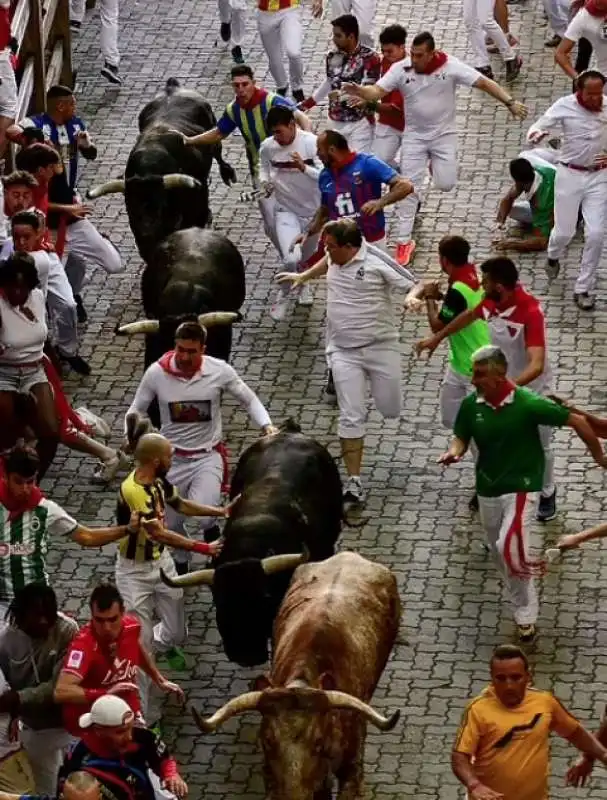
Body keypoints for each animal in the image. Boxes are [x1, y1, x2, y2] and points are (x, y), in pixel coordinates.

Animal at [86, 77, 236, 260]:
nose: (147, 235)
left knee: (219, 154)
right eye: (130, 206)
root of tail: (172, 86)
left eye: (160, 205)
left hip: (215, 136)